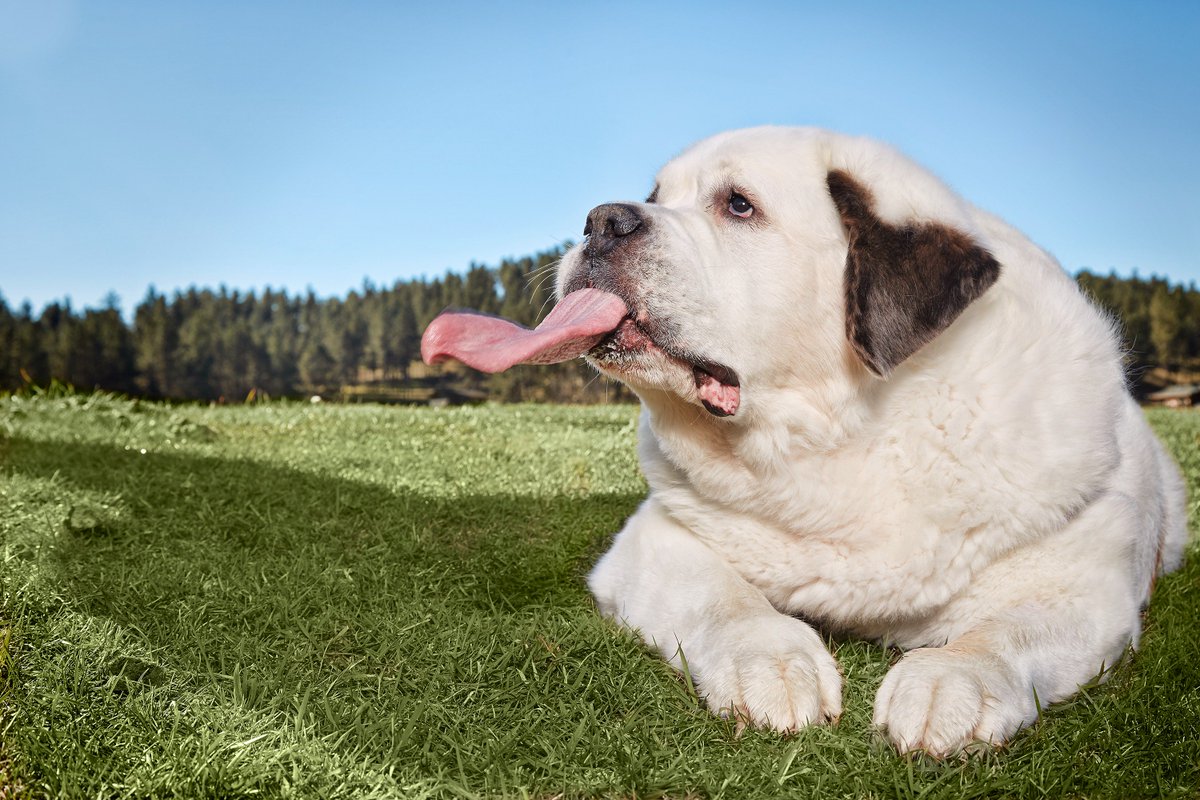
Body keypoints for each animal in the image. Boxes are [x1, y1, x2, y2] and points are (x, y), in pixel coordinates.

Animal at [552, 126, 1190, 758]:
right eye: (655, 196)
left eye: (738, 204)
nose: (603, 220)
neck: (844, 431)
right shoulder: (656, 538)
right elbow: (724, 599)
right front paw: (772, 664)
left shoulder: (1084, 584)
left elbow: (1003, 631)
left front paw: (952, 683)